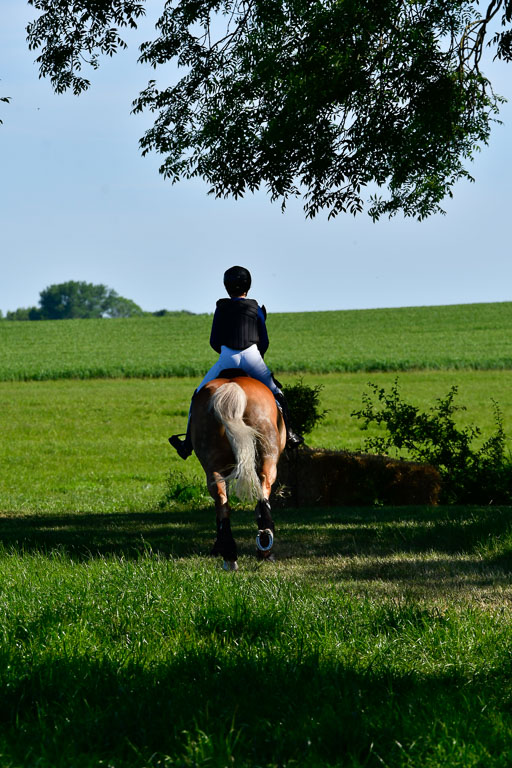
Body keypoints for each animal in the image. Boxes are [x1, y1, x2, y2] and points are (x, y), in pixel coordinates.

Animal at [190, 372, 288, 568]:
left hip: (214, 465)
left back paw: (229, 553)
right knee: (263, 491)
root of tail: (232, 387)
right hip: (268, 458)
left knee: (222, 501)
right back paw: (265, 547)